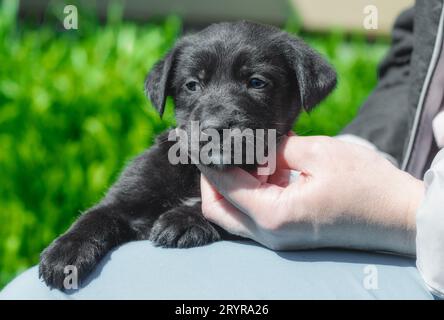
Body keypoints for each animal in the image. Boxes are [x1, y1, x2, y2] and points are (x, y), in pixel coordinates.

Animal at [39, 21, 336, 288]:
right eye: (192, 85)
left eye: (256, 82)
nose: (214, 127)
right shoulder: (126, 198)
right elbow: (96, 216)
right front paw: (65, 254)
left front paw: (182, 220)